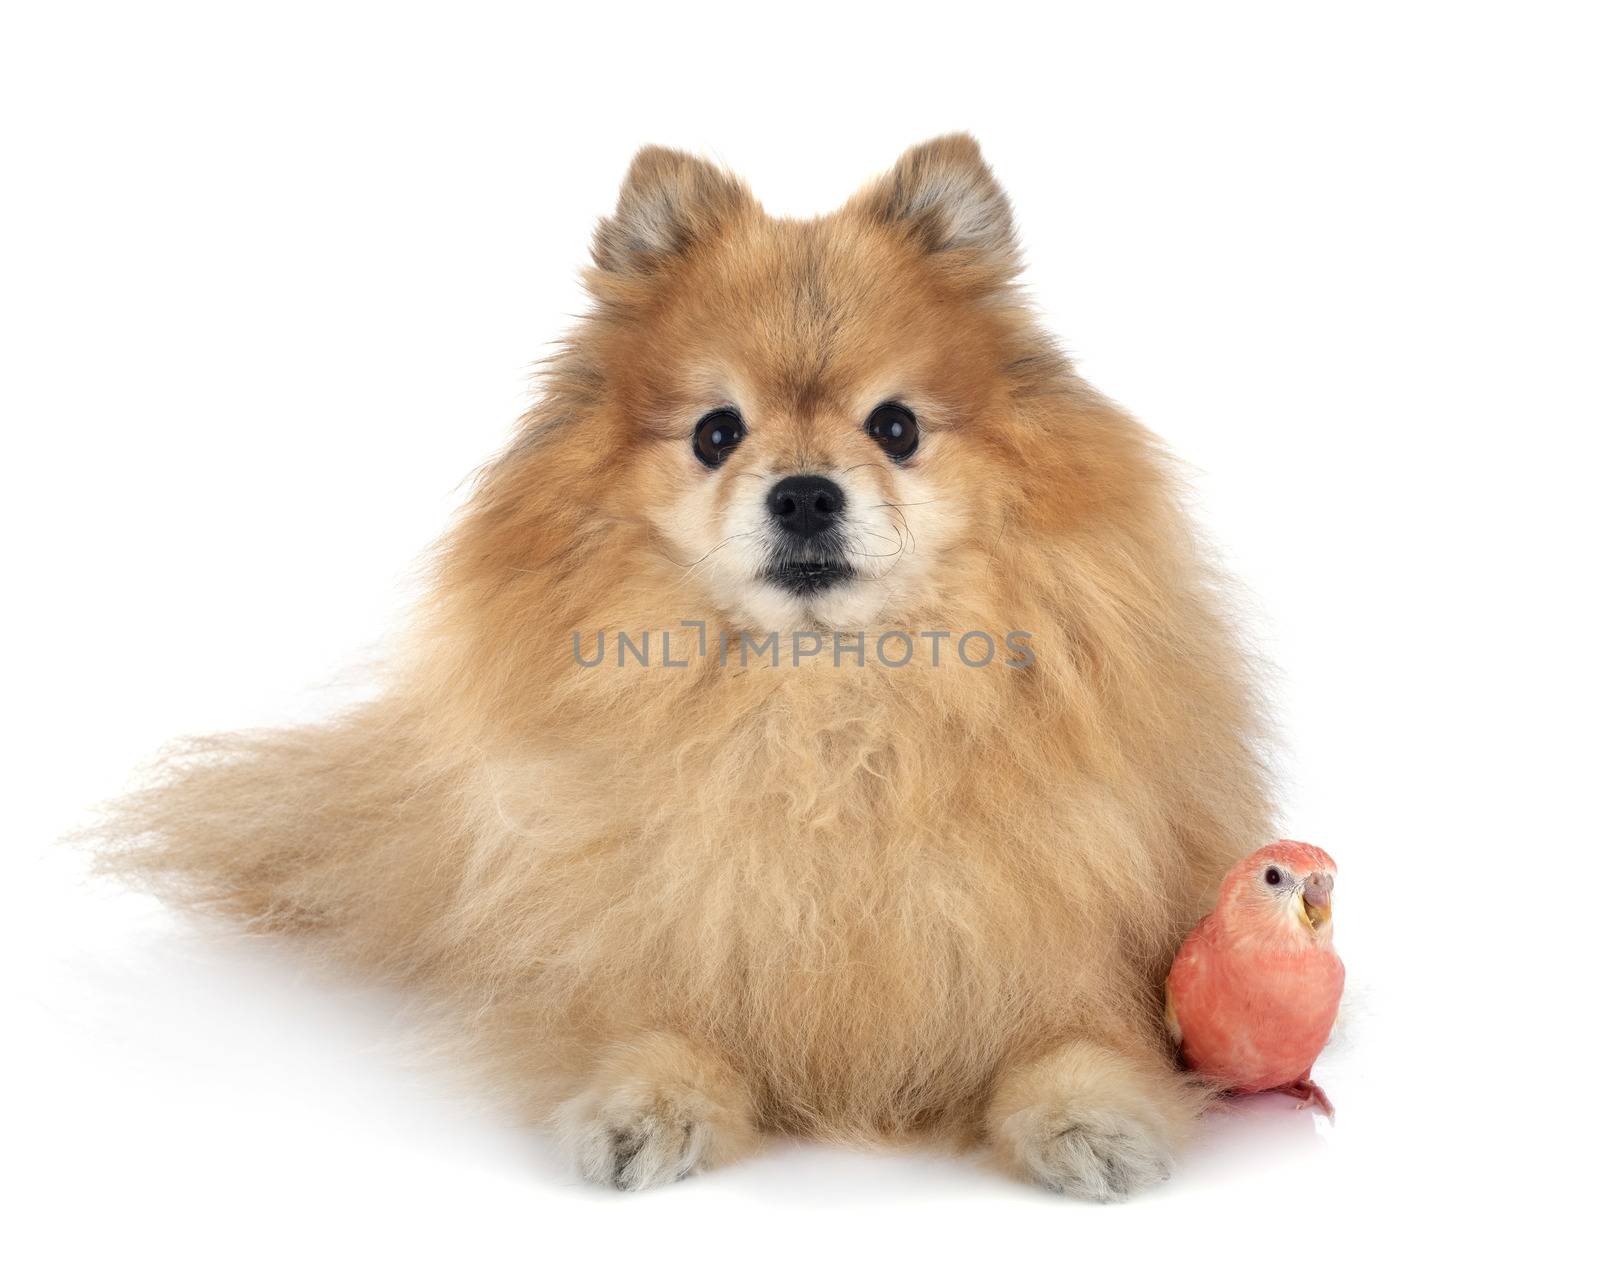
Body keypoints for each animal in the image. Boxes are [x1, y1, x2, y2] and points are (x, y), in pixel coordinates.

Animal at [100, 132, 1273, 1196]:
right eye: (716, 433)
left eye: (895, 427)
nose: (803, 493)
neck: (825, 717)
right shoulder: (656, 933)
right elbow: (655, 1019)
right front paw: (647, 1102)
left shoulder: (1058, 945)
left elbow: (1075, 1037)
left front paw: (1089, 1117)